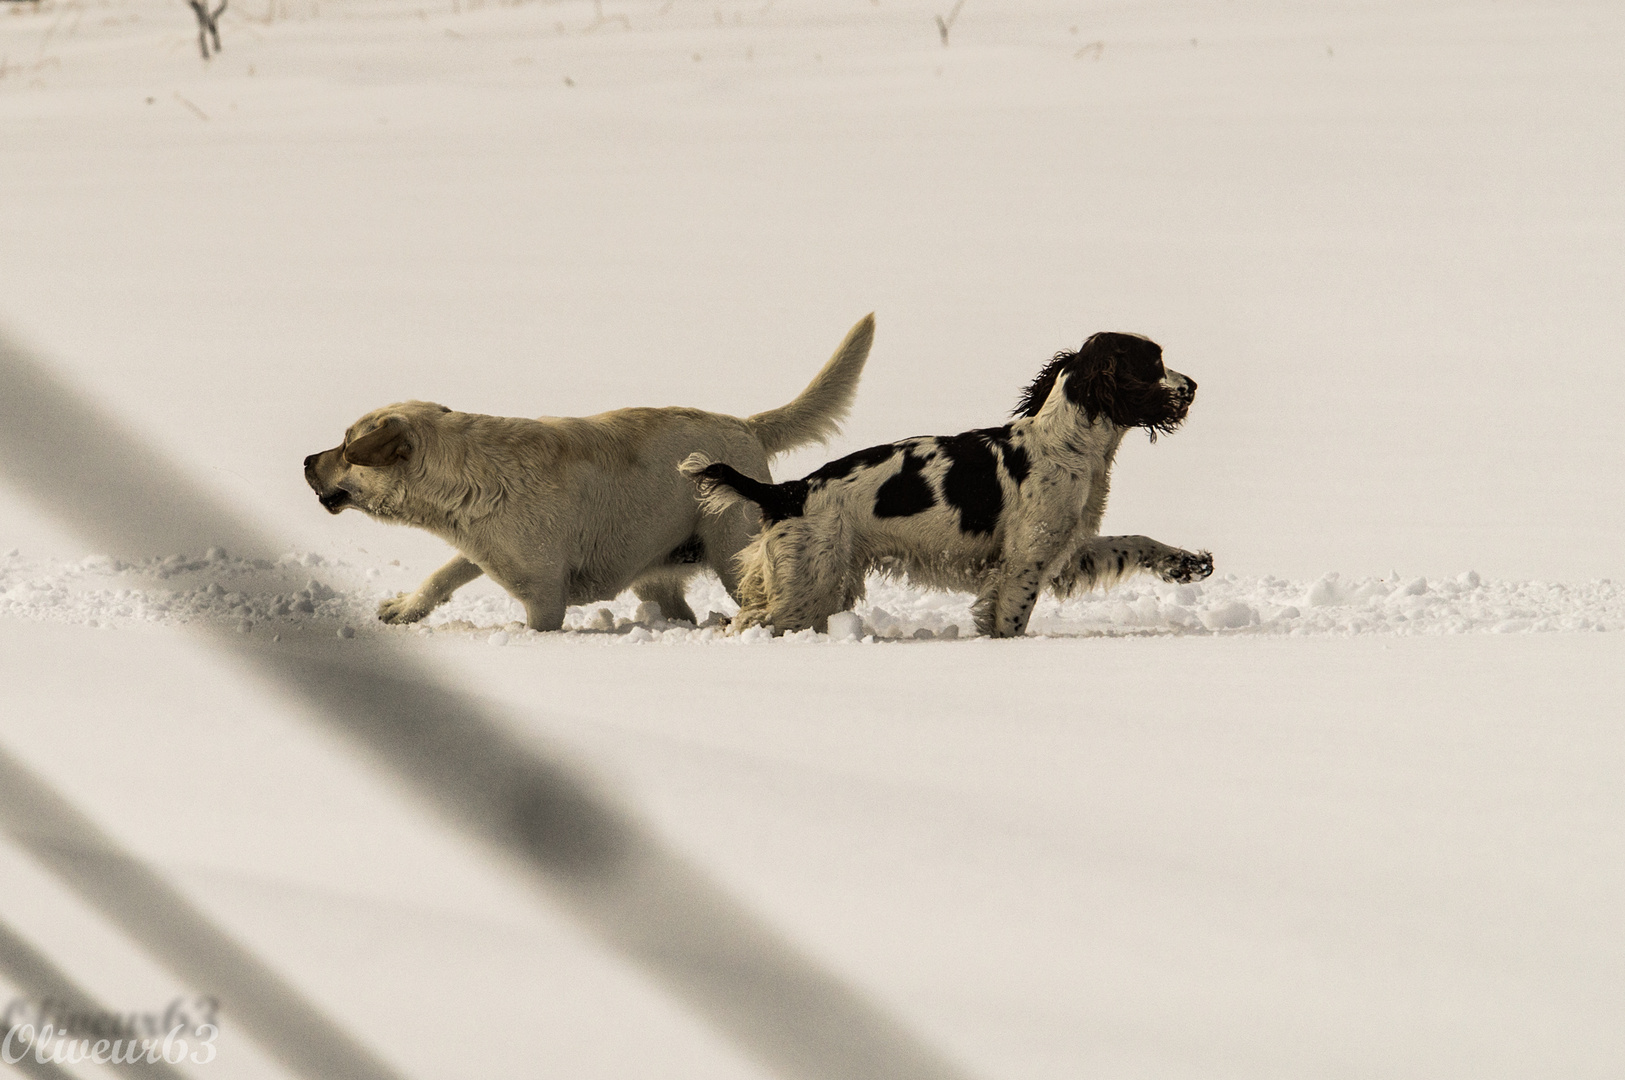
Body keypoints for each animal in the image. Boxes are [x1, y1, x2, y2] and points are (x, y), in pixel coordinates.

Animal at [299, 316, 871, 626]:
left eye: (346, 445)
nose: (305, 461)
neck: (467, 477)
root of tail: (747, 426)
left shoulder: (545, 597)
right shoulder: (485, 550)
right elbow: (443, 574)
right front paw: (403, 610)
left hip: (732, 554)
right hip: (659, 574)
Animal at [679, 328, 1215, 633]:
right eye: (1154, 362)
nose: (1193, 386)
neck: (1066, 442)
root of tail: (787, 492)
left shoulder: (1064, 549)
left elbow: (1136, 541)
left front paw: (1189, 563)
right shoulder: (1024, 563)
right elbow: (1009, 622)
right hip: (809, 583)